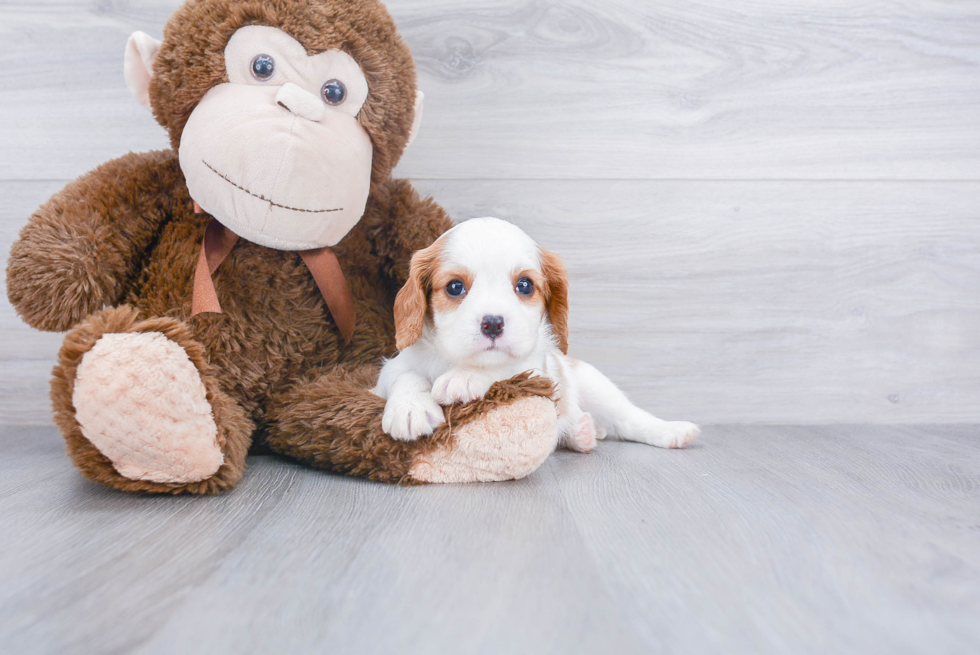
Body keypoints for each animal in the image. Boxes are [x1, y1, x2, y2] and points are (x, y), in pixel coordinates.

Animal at [372, 218, 700, 454]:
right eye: (454, 287)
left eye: (525, 285)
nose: (493, 323)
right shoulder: (389, 371)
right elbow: (406, 376)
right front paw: (411, 408)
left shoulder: (536, 370)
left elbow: (507, 368)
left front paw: (465, 378)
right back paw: (582, 432)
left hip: (595, 385)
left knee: (628, 418)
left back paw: (670, 431)